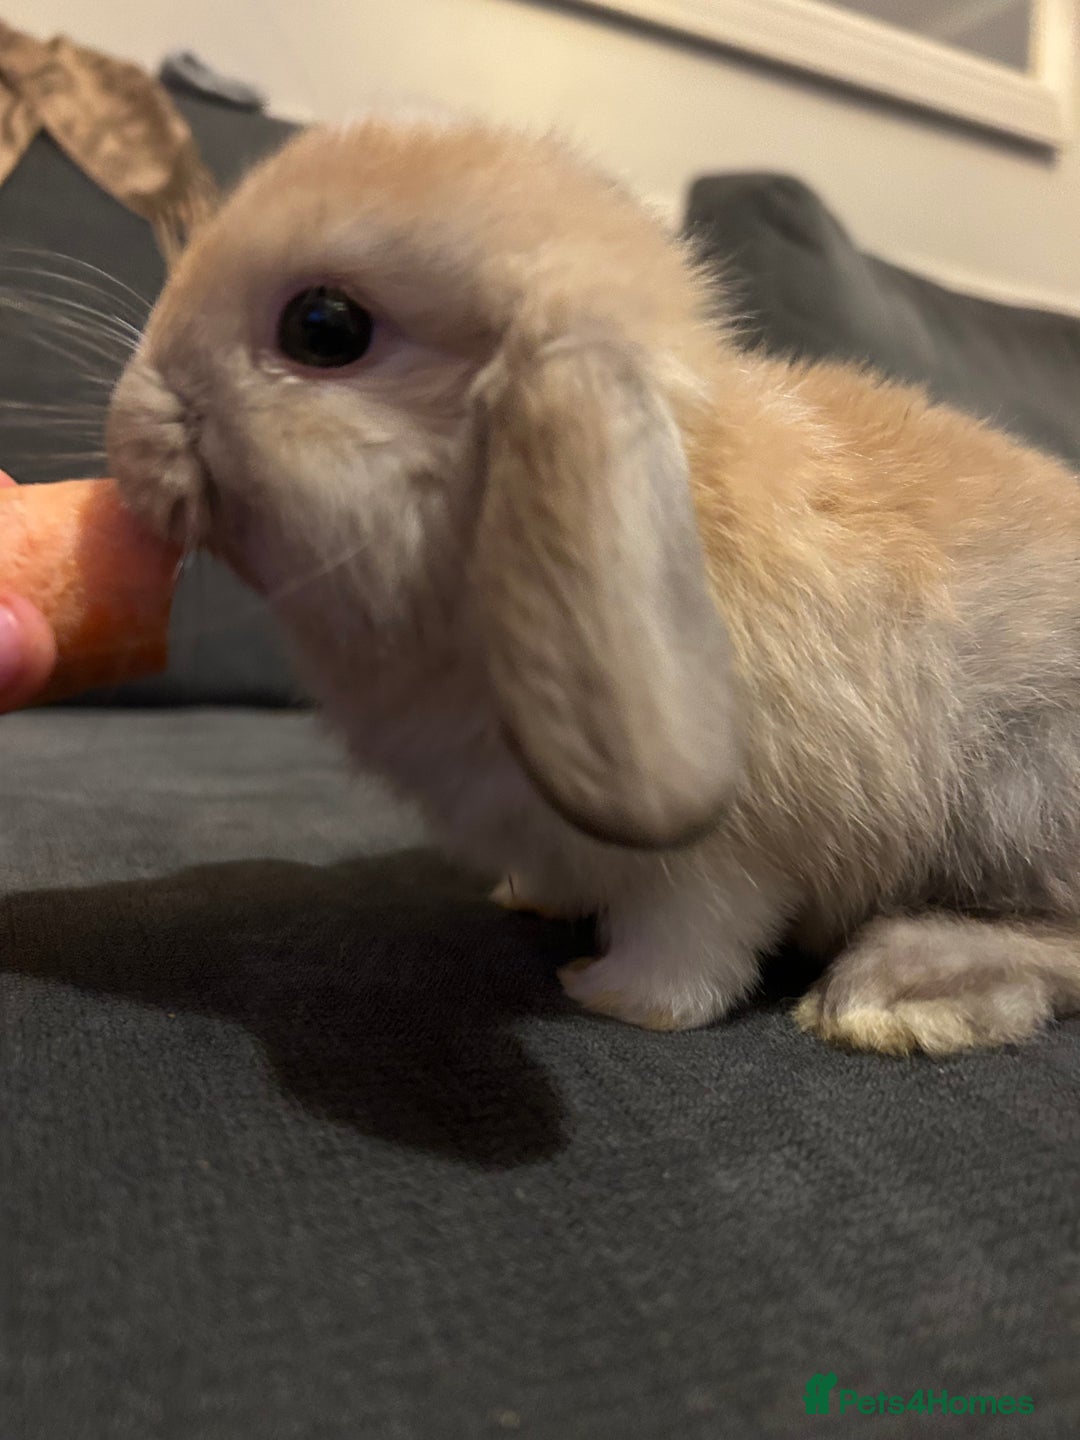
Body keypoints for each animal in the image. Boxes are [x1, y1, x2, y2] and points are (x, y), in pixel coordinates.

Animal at [106, 116, 1080, 1054]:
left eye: (324, 328)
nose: (125, 427)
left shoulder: (721, 863)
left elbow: (693, 949)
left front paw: (614, 997)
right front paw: (526, 899)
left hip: (1023, 805)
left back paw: (894, 990)